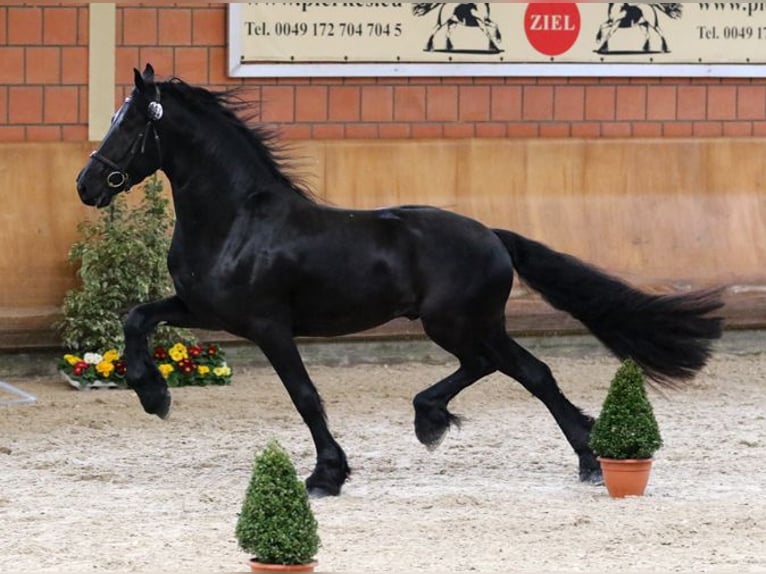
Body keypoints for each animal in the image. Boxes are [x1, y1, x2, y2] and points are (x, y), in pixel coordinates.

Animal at [75, 65, 724, 500]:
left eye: (130, 126)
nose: (87, 184)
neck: (237, 219)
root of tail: (493, 235)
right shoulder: (204, 309)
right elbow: (137, 317)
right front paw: (153, 393)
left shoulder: (267, 325)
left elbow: (305, 395)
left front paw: (325, 476)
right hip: (467, 324)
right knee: (511, 368)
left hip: (456, 322)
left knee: (516, 369)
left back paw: (564, 454)